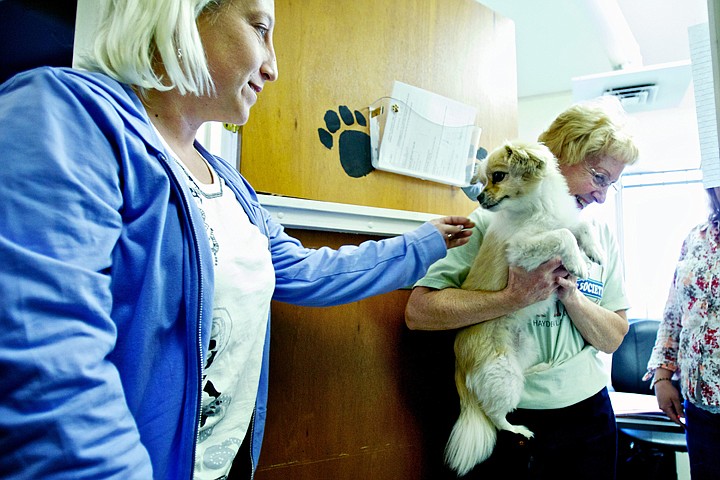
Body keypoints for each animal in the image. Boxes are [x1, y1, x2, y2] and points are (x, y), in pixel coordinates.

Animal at [444, 140, 600, 476]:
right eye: (482, 179)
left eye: (498, 176)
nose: (479, 197)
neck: (537, 207)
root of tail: (460, 364)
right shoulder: (521, 249)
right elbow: (562, 234)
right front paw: (577, 261)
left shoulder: (568, 219)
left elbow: (580, 224)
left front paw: (594, 250)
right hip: (502, 375)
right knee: (495, 416)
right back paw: (517, 429)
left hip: (524, 347)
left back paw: (540, 368)